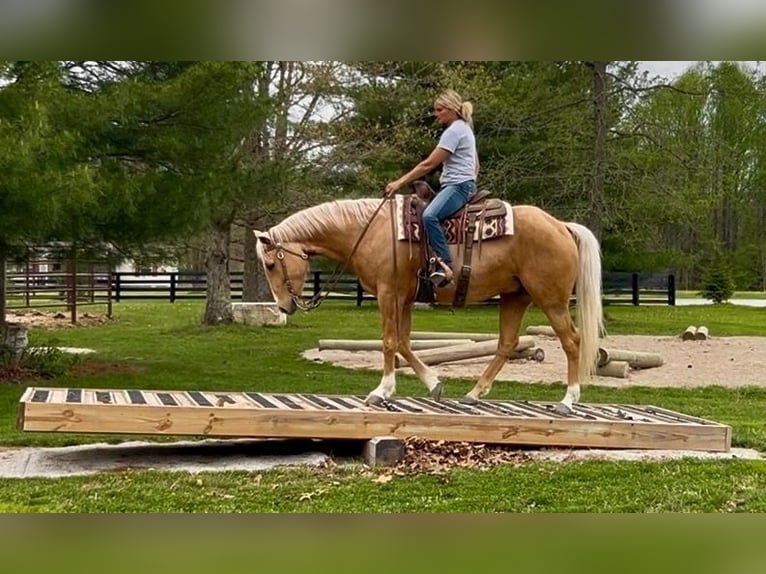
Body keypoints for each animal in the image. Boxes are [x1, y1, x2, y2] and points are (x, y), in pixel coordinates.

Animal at [254, 195, 604, 414]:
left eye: (270, 264)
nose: (284, 307)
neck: (369, 232)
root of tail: (562, 226)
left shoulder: (388, 293)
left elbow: (389, 341)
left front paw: (381, 391)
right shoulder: (404, 298)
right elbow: (404, 343)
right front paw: (434, 384)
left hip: (551, 300)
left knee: (572, 341)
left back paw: (568, 399)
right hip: (515, 297)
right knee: (507, 343)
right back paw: (474, 394)